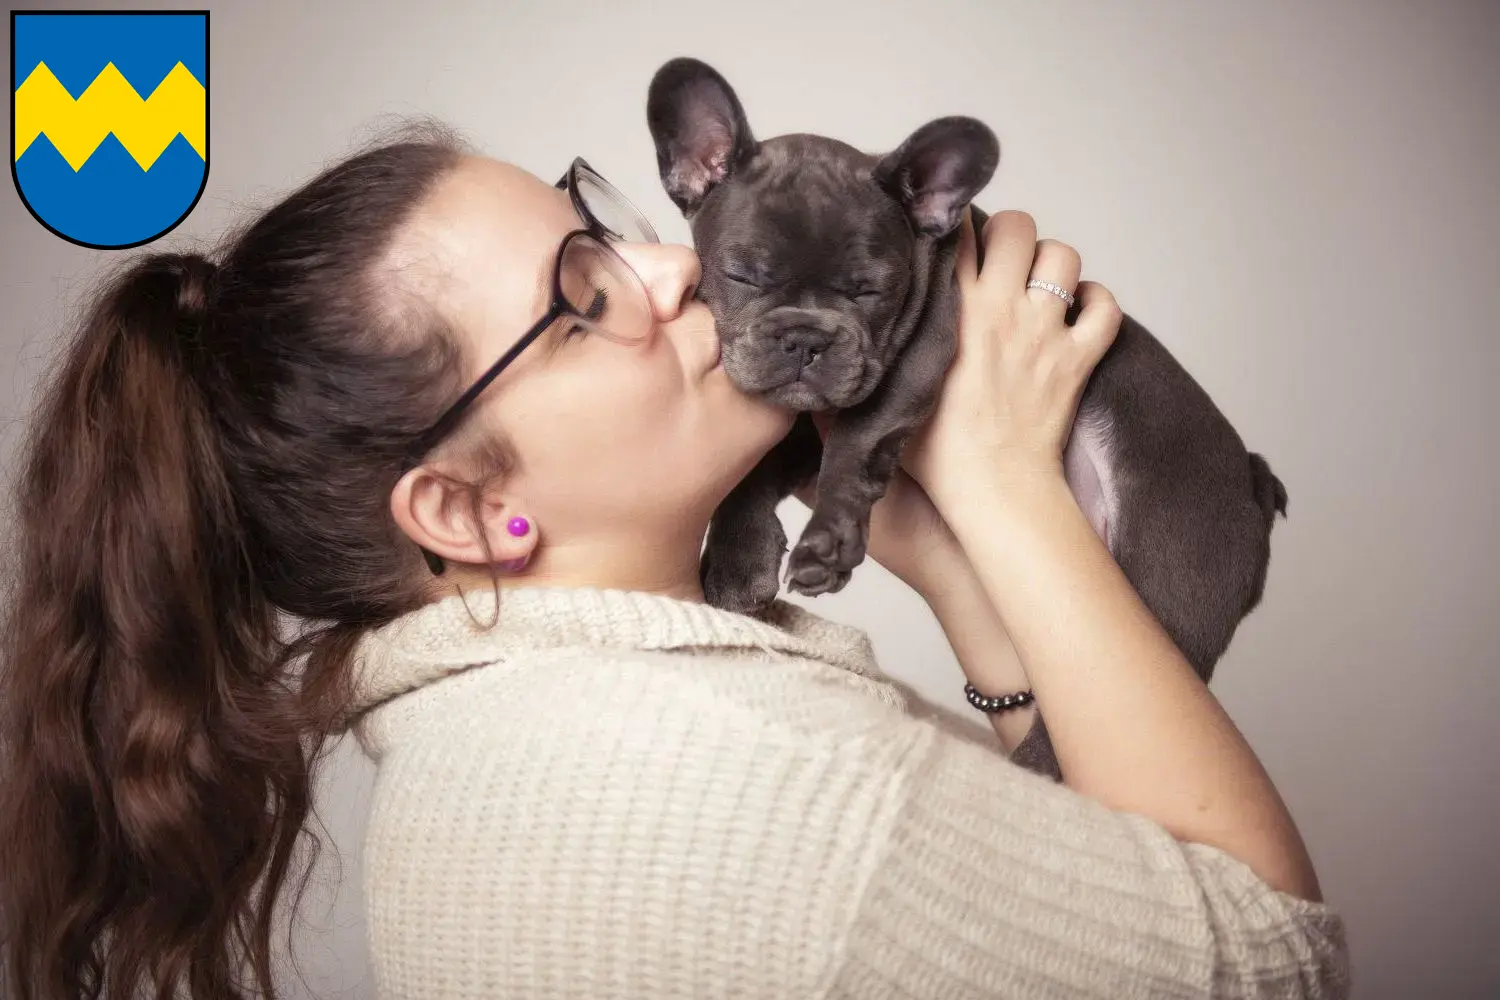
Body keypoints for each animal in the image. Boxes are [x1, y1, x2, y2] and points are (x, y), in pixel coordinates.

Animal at [645, 56, 1290, 779]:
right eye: (741, 276)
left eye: (871, 290)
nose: (807, 339)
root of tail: (1253, 480)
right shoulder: (809, 419)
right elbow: (757, 470)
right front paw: (737, 559)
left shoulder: (910, 362)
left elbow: (856, 448)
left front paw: (826, 542)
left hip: (1173, 575)